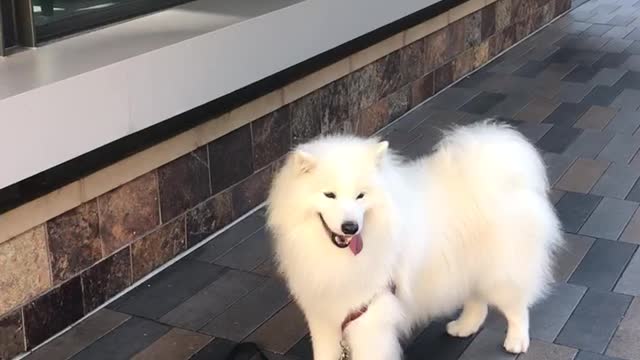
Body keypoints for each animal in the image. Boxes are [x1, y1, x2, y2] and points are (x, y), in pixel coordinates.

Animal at [264, 121, 560, 360]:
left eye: (361, 196)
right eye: (329, 195)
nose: (351, 227)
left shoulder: (369, 320)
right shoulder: (324, 317)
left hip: (500, 271)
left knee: (516, 305)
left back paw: (516, 341)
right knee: (478, 301)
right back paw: (464, 327)